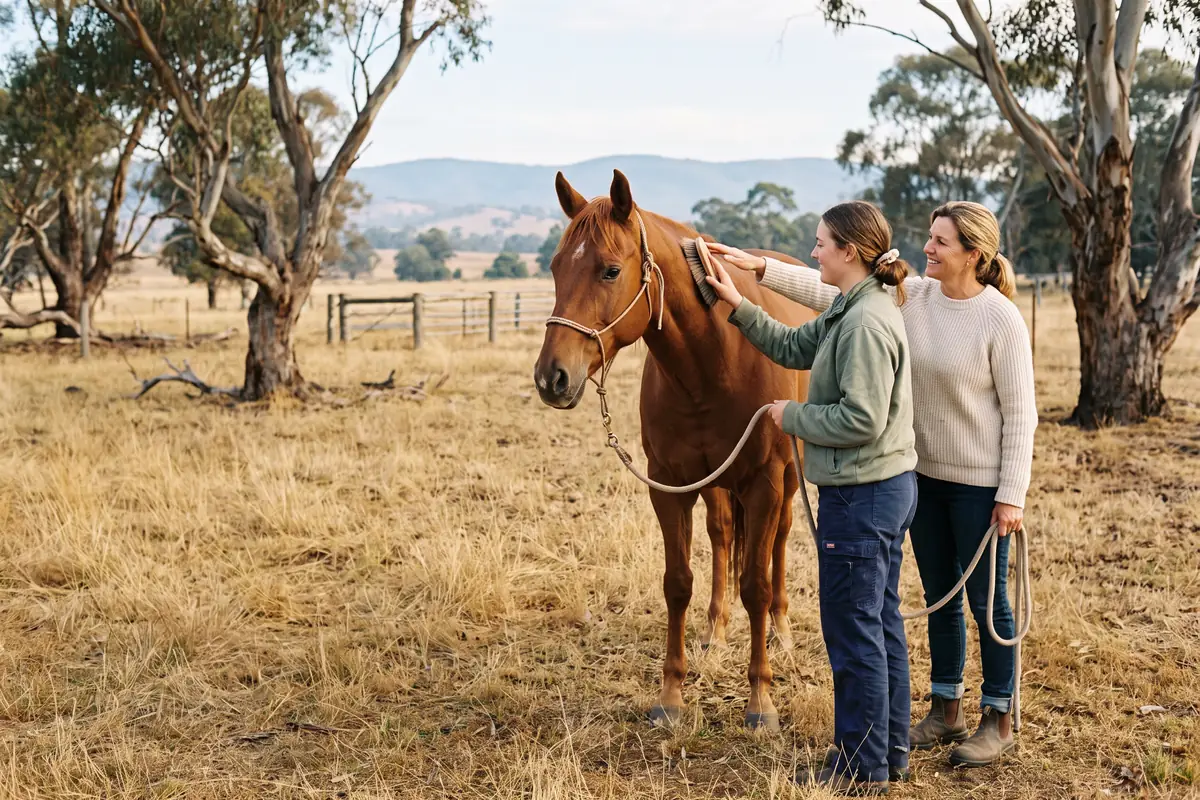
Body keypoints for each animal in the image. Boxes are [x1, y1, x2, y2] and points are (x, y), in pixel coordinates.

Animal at [533, 169, 819, 731]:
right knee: (723, 536)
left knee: (777, 542)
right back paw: (715, 631)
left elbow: (754, 583)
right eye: (555, 267)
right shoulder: (670, 485)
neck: (715, 359)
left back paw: (781, 630)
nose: (552, 377)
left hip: (787, 481)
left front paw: (761, 701)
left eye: (610, 270)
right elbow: (678, 582)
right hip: (715, 486)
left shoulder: (764, 482)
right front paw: (670, 695)